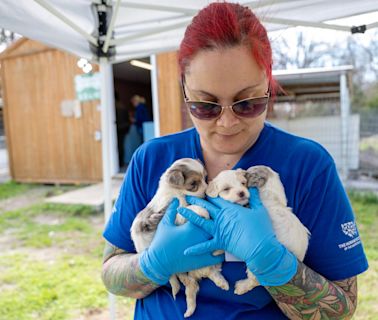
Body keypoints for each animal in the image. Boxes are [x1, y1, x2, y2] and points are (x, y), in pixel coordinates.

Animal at [130, 158, 229, 318]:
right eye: (193, 183)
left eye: (205, 178)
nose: (206, 192)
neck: (177, 192)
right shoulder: (174, 211)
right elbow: (187, 208)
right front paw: (203, 210)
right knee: (186, 281)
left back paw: (221, 281)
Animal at [207, 168, 310, 296]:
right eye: (226, 189)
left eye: (243, 182)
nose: (241, 193)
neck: (273, 198)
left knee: (255, 281)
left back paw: (242, 287)